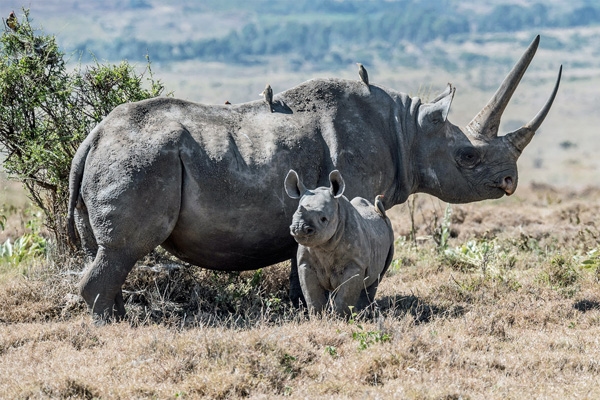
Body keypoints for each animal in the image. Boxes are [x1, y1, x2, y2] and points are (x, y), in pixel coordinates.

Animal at [284, 169, 394, 316]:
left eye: (323, 219)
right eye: (293, 216)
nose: (299, 228)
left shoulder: (355, 264)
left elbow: (345, 296)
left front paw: (340, 317)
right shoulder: (305, 263)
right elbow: (312, 294)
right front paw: (318, 316)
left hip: (390, 234)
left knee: (376, 279)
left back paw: (362, 313)